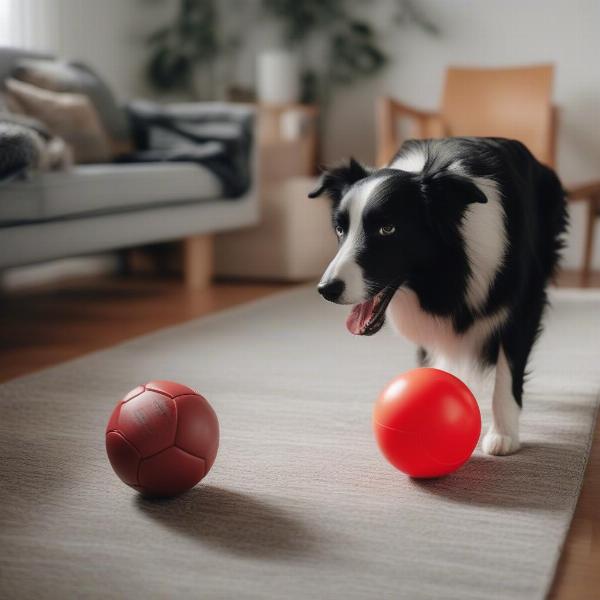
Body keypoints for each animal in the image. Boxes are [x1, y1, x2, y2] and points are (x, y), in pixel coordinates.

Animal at [310, 136, 568, 454]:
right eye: (339, 229)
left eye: (387, 229)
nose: (326, 289)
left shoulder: (524, 302)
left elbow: (508, 371)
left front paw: (504, 435)